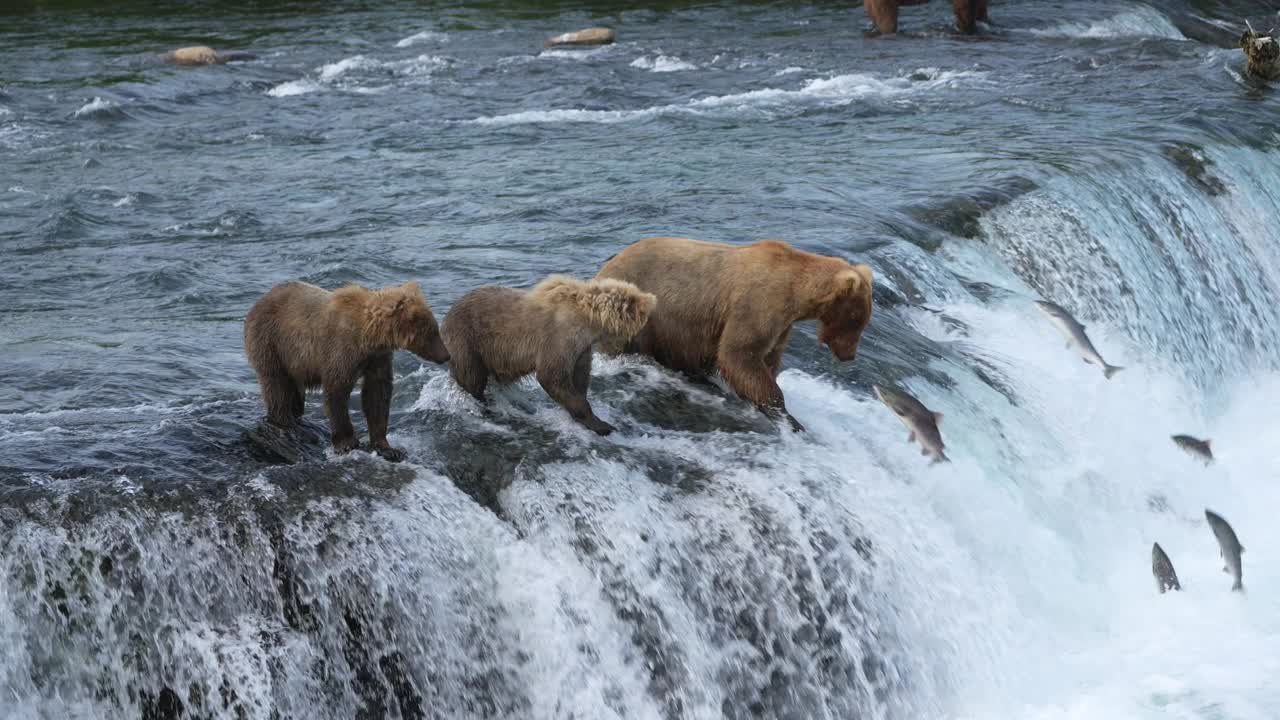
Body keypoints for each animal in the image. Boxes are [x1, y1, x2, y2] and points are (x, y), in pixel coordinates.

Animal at [241, 280, 448, 458]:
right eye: (433, 332)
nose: (446, 355)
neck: (369, 336)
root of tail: (260, 300)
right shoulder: (341, 350)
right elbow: (337, 392)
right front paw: (347, 442)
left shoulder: (377, 358)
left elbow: (378, 394)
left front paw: (388, 447)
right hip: (272, 341)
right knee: (276, 384)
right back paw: (286, 423)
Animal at [593, 235, 875, 427]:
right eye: (855, 320)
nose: (848, 355)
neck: (795, 294)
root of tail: (601, 271)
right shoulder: (757, 305)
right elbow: (739, 353)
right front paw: (784, 412)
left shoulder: (781, 326)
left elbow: (767, 357)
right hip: (637, 311)